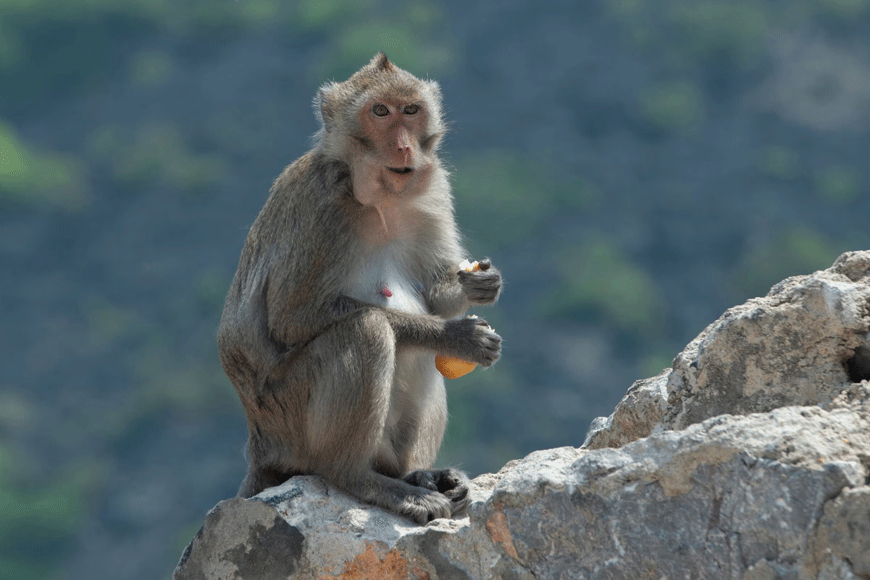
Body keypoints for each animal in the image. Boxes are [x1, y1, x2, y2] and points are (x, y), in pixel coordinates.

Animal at [217, 53, 504, 524]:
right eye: (380, 112)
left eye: (411, 110)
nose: (404, 146)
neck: (379, 196)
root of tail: (260, 444)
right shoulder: (323, 207)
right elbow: (292, 318)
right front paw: (456, 335)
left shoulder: (434, 190)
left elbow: (434, 293)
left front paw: (479, 283)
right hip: (290, 418)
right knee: (366, 330)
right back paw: (363, 479)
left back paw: (415, 475)